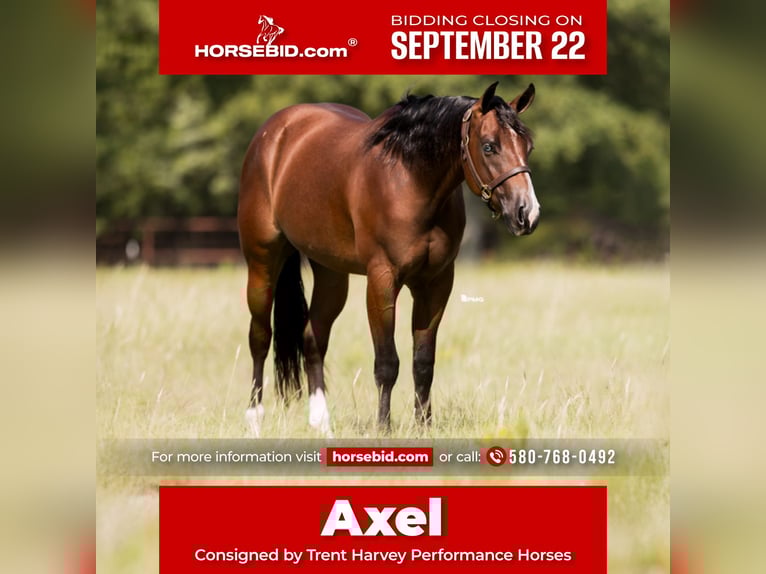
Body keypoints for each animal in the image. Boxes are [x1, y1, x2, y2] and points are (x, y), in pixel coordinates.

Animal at [237, 82, 540, 437]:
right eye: (490, 146)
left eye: (528, 146)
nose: (527, 213)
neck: (411, 180)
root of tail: (275, 132)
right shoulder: (382, 281)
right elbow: (387, 363)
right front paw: (384, 427)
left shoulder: (436, 284)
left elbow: (423, 363)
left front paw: (424, 426)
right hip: (262, 263)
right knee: (260, 337)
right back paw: (254, 418)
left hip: (331, 274)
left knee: (313, 338)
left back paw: (321, 423)